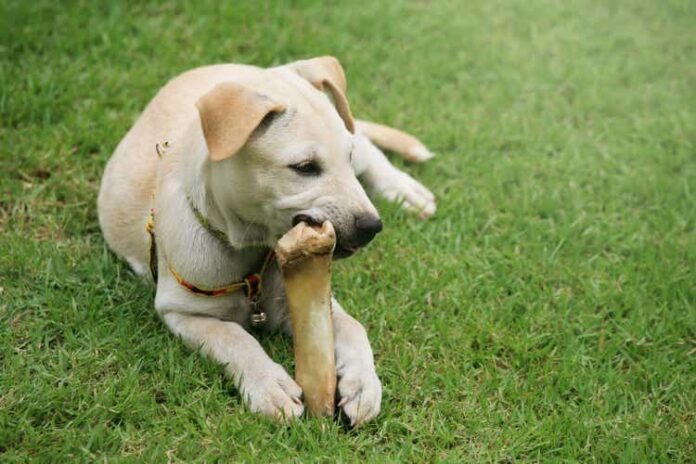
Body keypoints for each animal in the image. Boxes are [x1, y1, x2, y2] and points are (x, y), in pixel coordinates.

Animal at [98, 56, 436, 426]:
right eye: (305, 167)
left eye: (344, 159)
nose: (372, 226)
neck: (252, 249)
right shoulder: (182, 312)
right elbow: (233, 337)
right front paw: (269, 385)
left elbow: (353, 327)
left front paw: (363, 384)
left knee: (369, 147)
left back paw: (404, 189)